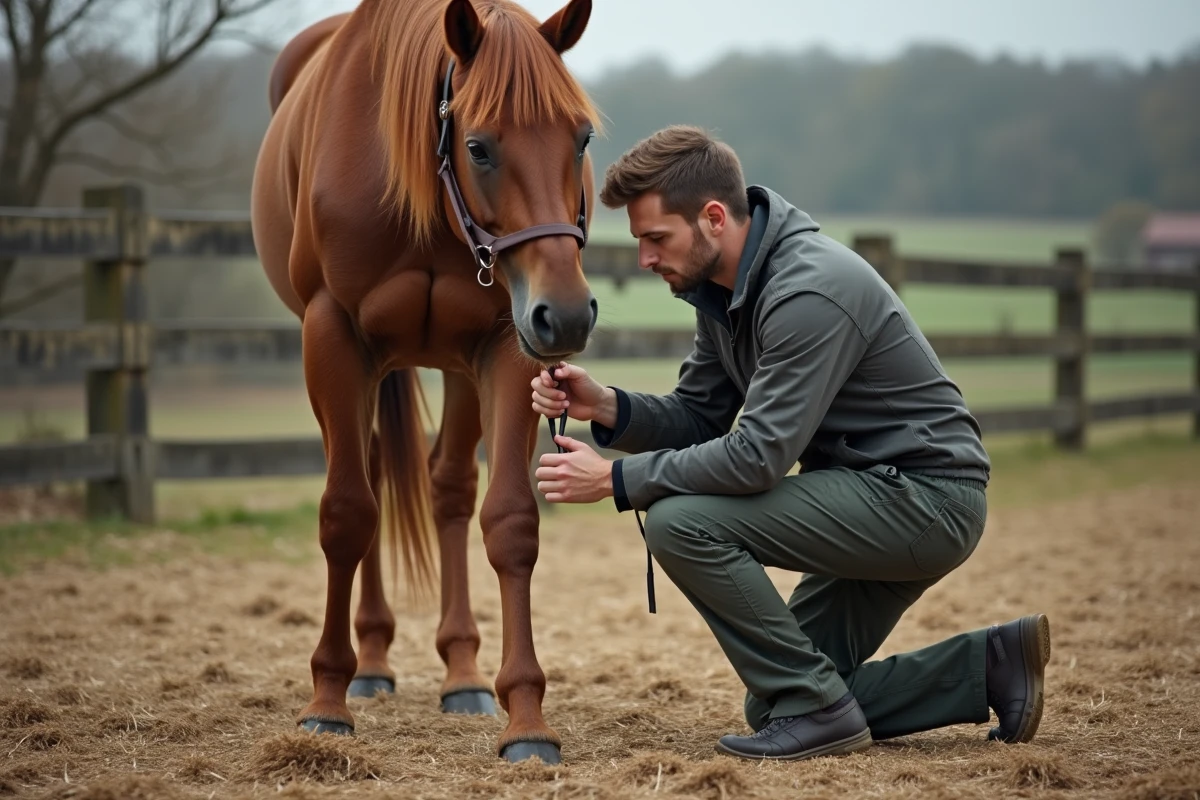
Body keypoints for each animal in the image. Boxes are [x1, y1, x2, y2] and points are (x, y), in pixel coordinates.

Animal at [249, 0, 601, 765]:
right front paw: (325, 700)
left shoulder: (504, 342)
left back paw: (461, 672)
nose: (564, 314)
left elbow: (509, 521)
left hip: (458, 365)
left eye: (582, 137)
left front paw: (526, 717)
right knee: (373, 475)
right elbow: (346, 514)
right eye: (478, 146)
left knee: (448, 488)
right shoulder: (332, 335)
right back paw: (370, 664)